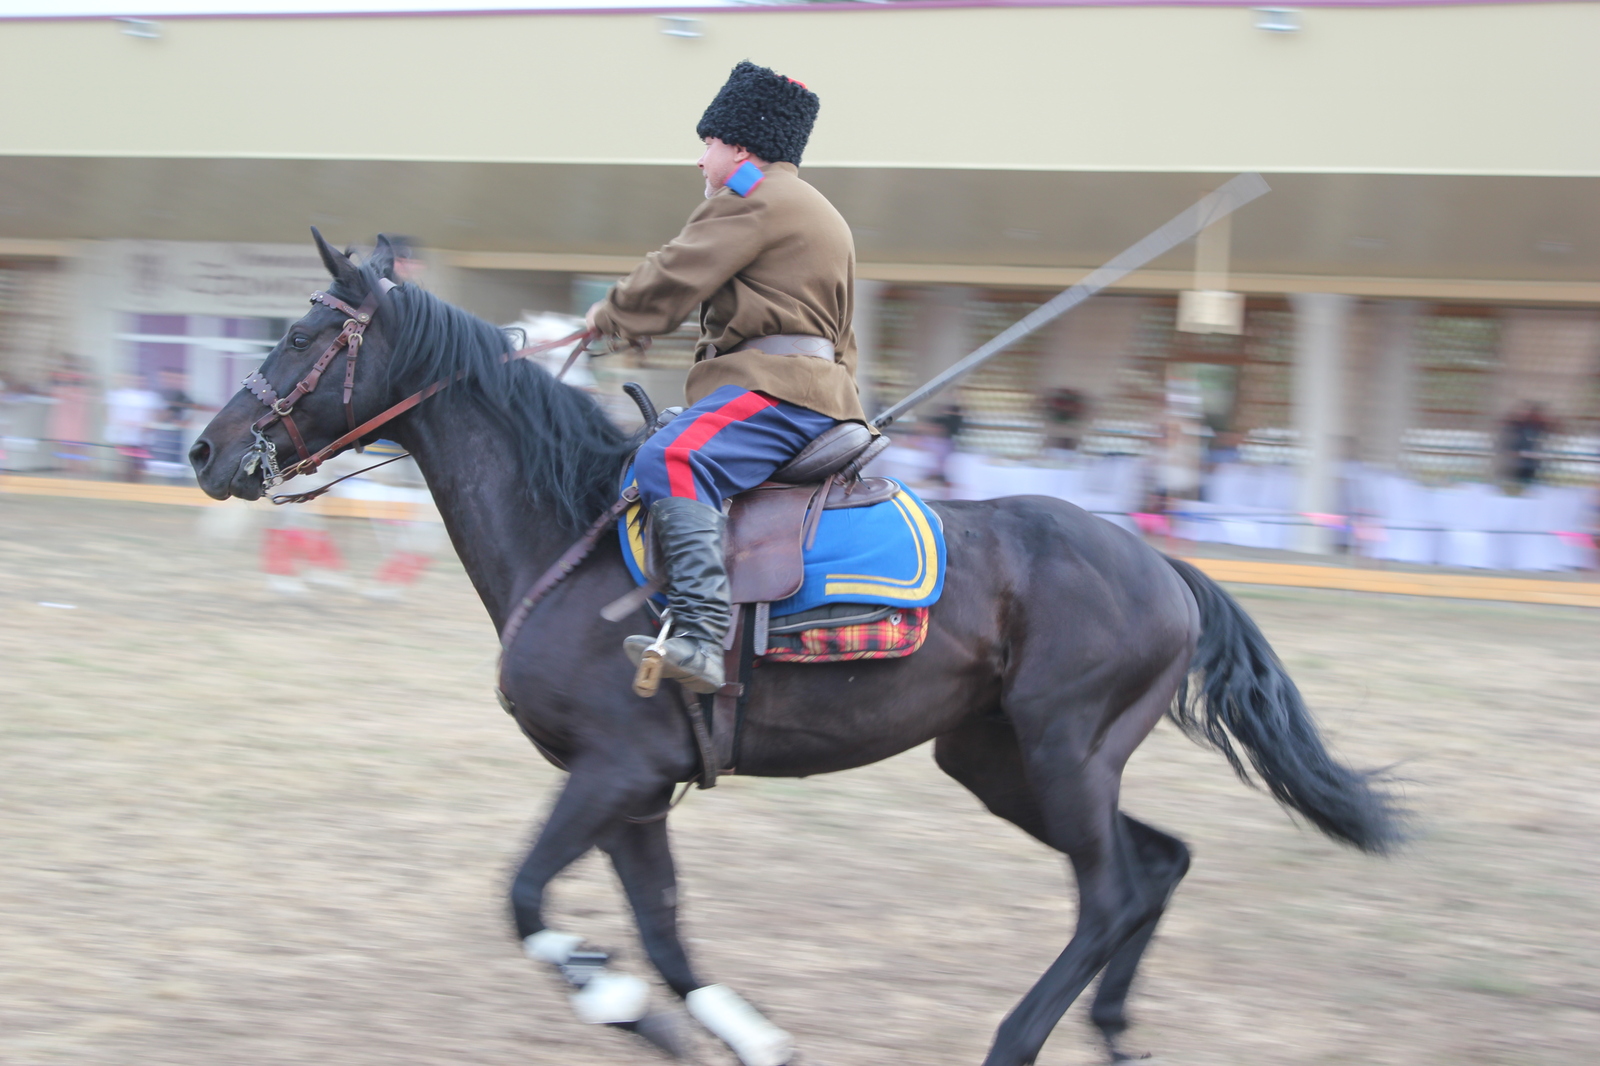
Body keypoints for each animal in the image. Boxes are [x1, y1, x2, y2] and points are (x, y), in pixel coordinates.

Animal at [190, 235, 1401, 1062]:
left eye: (300, 337)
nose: (204, 449)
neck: (572, 531)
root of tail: (1160, 565)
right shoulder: (637, 792)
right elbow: (664, 940)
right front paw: (711, 1027)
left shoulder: (611, 771)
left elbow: (530, 899)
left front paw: (608, 992)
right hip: (998, 758)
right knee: (1155, 866)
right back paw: (1108, 1027)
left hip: (1065, 752)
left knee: (1107, 895)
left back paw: (1019, 1039)